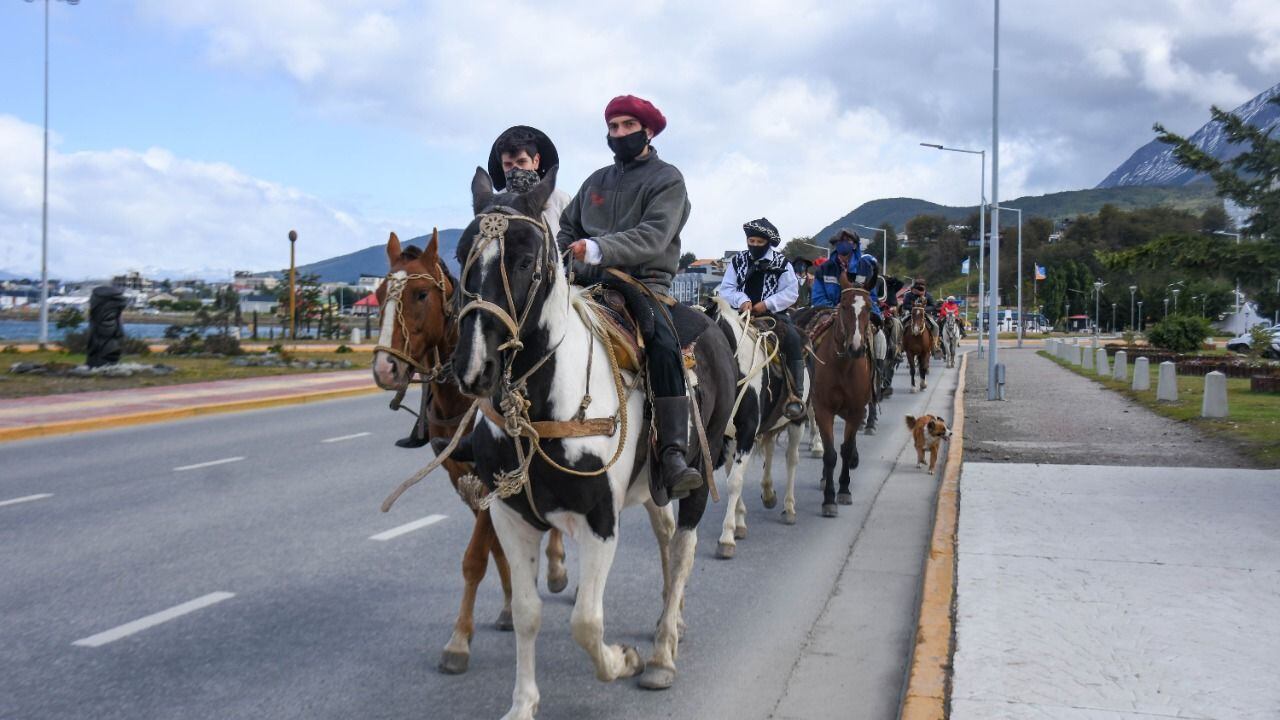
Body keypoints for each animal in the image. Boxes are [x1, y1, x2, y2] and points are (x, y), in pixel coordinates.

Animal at [371, 229, 570, 671]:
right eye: (377, 295)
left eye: (421, 294)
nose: (385, 369)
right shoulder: (463, 478)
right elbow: (496, 548)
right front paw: (509, 606)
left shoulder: (490, 477)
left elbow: (475, 557)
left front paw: (459, 640)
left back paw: (557, 566)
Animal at [808, 274, 880, 515]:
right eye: (845, 305)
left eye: (868, 307)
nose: (856, 348)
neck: (842, 365)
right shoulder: (823, 409)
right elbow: (830, 454)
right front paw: (829, 498)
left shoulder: (856, 409)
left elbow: (846, 450)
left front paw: (844, 490)